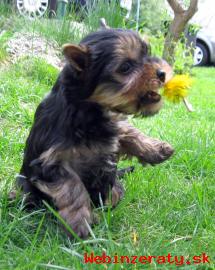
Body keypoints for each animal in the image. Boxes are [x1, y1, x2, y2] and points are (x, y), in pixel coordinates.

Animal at [17, 28, 174, 238]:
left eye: (147, 53)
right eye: (125, 67)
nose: (162, 73)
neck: (90, 109)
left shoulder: (114, 127)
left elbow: (129, 132)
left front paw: (157, 149)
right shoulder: (50, 162)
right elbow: (74, 187)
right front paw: (80, 225)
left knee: (115, 193)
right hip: (24, 186)